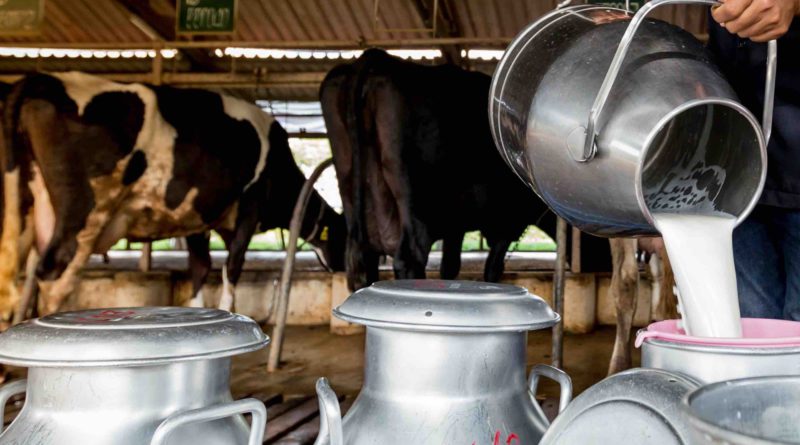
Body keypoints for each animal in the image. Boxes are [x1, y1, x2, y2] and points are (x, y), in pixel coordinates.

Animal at [0, 71, 346, 318]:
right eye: (343, 234)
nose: (343, 268)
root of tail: (42, 79)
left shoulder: (196, 216)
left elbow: (200, 267)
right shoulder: (249, 205)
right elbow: (231, 266)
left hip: (23, 210)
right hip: (85, 211)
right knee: (54, 275)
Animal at [320, 49, 556, 292]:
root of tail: (375, 57)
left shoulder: (456, 224)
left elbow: (450, 267)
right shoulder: (506, 222)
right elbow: (491, 269)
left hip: (351, 189)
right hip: (414, 201)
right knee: (410, 256)